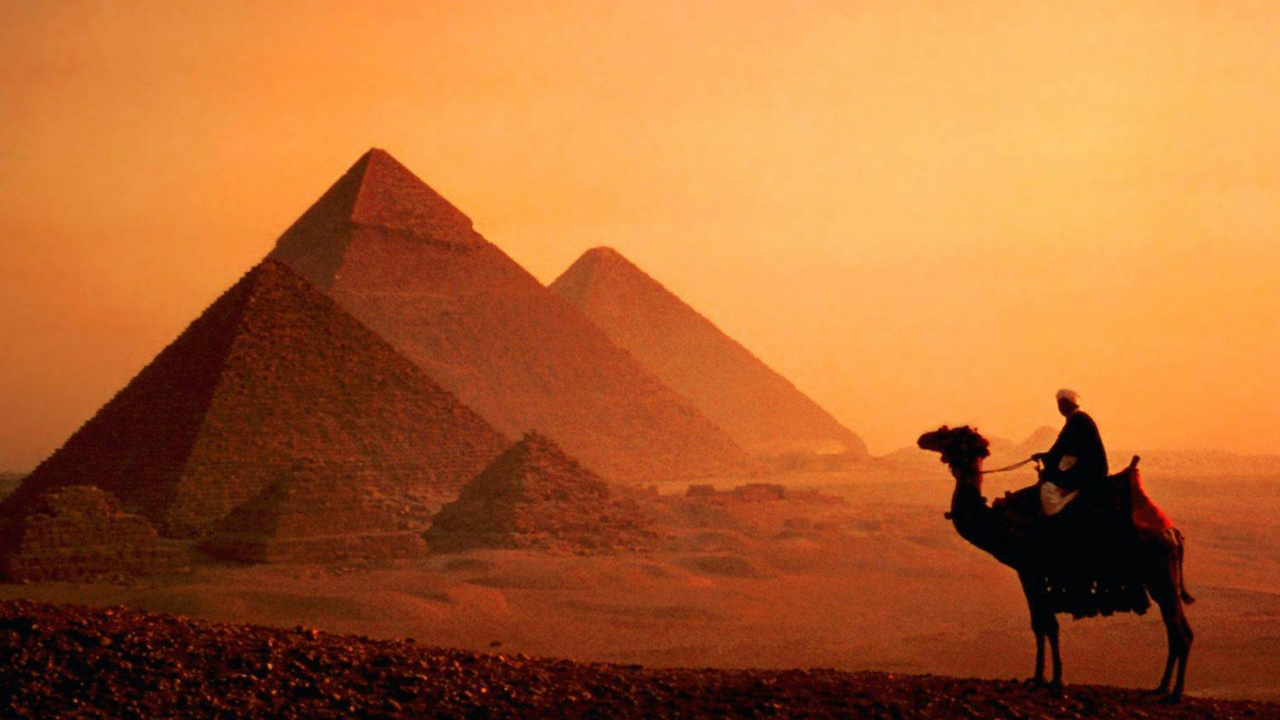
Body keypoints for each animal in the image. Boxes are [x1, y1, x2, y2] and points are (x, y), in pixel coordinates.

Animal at [917, 425, 1194, 702]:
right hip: (1161, 576)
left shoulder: (1030, 570)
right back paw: (1162, 687)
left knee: (1179, 632)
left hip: (1160, 574)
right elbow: (1042, 623)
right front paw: (1041, 677)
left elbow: (1046, 623)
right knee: (1179, 630)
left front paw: (1051, 678)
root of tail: (1173, 533)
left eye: (947, 435)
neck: (1000, 522)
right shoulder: (1031, 572)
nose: (923, 438)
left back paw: (1175, 692)